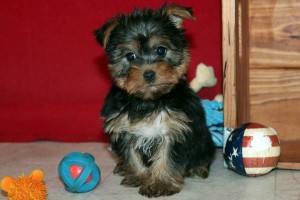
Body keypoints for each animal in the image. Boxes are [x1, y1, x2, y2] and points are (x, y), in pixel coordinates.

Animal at [95, 3, 214, 198]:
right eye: (130, 56)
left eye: (161, 50)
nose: (149, 73)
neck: (148, 101)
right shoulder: (123, 129)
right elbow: (132, 156)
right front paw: (138, 176)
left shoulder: (174, 129)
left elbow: (167, 158)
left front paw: (160, 183)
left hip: (203, 138)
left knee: (203, 153)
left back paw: (199, 168)